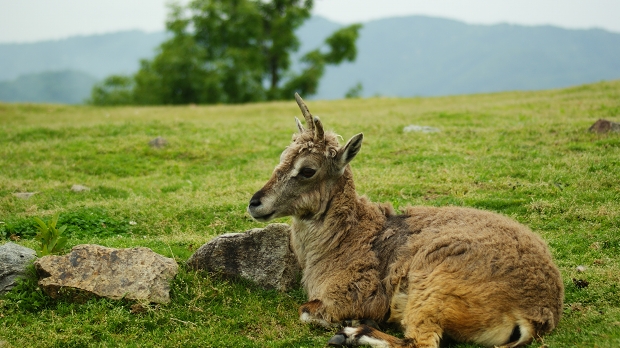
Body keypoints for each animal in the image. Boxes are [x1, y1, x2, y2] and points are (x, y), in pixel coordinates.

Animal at [246, 94, 560, 346]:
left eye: (308, 170)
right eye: (283, 157)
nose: (255, 203)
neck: (348, 237)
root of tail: (536, 312)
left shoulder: (347, 295)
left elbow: (306, 311)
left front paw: (352, 322)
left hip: (431, 290)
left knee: (419, 343)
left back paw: (353, 333)